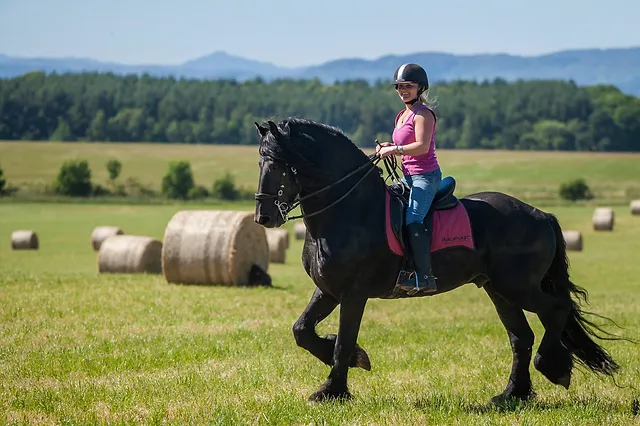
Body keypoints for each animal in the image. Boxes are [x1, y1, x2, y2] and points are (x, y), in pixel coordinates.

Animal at [253, 117, 623, 404]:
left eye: (281, 165)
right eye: (260, 163)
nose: (263, 217)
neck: (349, 210)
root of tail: (540, 214)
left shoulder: (353, 294)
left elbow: (343, 341)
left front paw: (333, 390)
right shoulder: (329, 290)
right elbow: (302, 330)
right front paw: (355, 359)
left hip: (517, 286)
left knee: (556, 309)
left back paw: (554, 366)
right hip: (498, 290)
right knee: (522, 337)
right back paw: (513, 394)